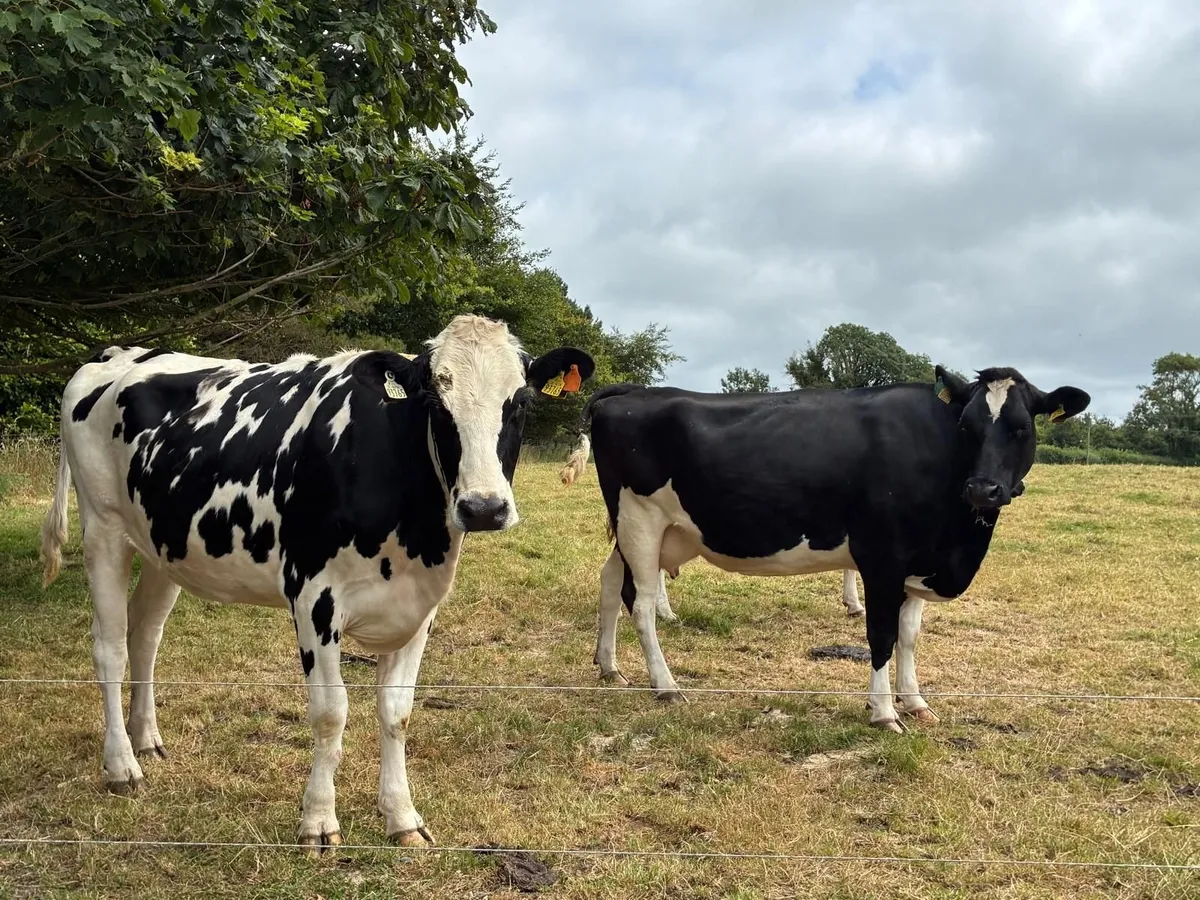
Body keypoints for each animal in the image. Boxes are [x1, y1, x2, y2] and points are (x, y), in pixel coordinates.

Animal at [39, 315, 594, 852]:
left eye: (521, 402)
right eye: (435, 402)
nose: (483, 508)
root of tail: (117, 352)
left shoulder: (420, 607)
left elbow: (397, 713)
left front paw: (402, 817)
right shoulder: (313, 597)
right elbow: (331, 712)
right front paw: (319, 823)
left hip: (162, 545)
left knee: (146, 635)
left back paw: (147, 739)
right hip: (103, 528)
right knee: (110, 645)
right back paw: (121, 764)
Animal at [558, 367, 1088, 732]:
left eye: (1022, 427)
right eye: (968, 427)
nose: (983, 489)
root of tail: (632, 392)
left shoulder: (918, 563)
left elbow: (910, 636)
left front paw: (916, 701)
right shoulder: (883, 558)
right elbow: (882, 636)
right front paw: (883, 712)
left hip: (655, 531)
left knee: (610, 581)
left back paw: (609, 666)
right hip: (640, 519)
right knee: (642, 602)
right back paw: (666, 686)